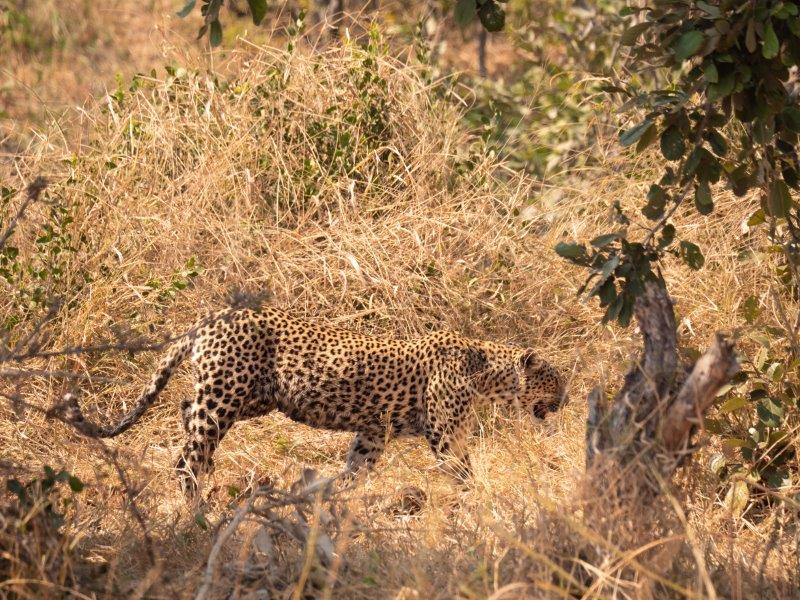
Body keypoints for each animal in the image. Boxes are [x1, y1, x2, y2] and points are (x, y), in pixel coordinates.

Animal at [59, 308, 564, 494]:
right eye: (556, 379)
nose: (566, 399)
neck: (487, 371)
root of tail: (209, 319)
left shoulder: (373, 431)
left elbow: (357, 467)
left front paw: (333, 499)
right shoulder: (444, 433)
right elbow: (462, 470)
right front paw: (478, 502)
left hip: (245, 398)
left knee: (188, 419)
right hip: (225, 397)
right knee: (186, 458)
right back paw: (196, 506)